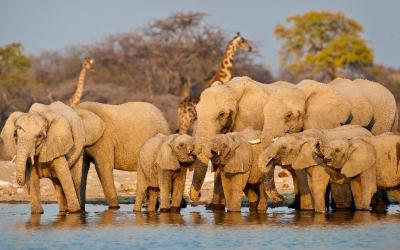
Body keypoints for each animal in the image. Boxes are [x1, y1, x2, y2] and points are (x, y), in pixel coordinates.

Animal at [189, 76, 292, 209]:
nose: (199, 195)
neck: (231, 88)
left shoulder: (250, 118)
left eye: (221, 114)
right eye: (197, 112)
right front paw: (215, 207)